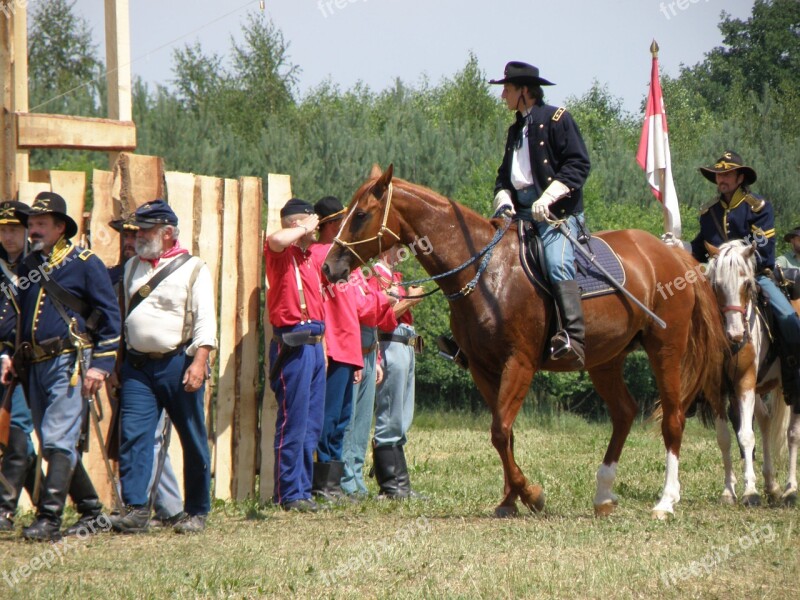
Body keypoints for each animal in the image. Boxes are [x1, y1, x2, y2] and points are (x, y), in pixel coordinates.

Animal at [324, 166, 732, 516]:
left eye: (361, 214)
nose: (329, 267)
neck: (485, 272)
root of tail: (673, 255)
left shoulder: (518, 362)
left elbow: (500, 430)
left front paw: (530, 494)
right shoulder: (483, 369)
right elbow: (505, 433)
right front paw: (511, 499)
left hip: (666, 348)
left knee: (673, 419)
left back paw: (666, 501)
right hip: (604, 360)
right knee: (624, 413)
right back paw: (603, 494)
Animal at [704, 239, 796, 506]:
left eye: (746, 283)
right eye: (716, 285)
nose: (735, 334)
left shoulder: (745, 382)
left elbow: (746, 435)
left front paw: (750, 492)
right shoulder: (717, 389)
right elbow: (724, 437)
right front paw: (728, 491)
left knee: (792, 434)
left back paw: (790, 489)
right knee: (765, 421)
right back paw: (772, 485)